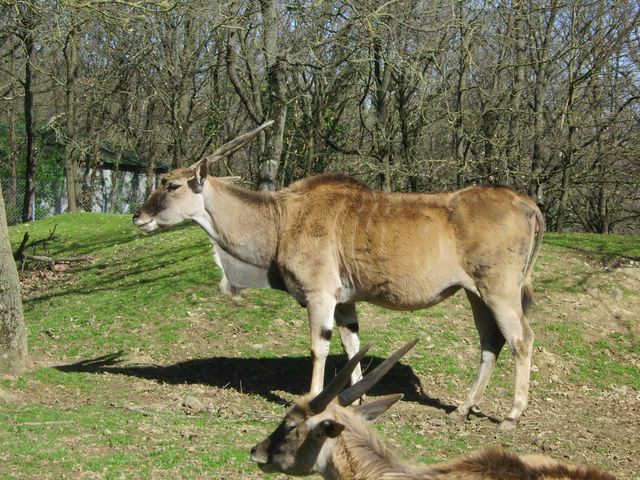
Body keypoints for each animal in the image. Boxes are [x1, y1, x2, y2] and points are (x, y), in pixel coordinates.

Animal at [134, 122, 544, 426]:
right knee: (491, 342)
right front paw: (356, 401)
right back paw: (463, 408)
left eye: (171, 184)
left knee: (521, 338)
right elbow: (352, 347)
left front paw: (314, 398)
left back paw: (512, 415)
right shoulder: (346, 302)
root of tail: (526, 203)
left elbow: (320, 347)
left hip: (499, 290)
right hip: (475, 293)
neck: (281, 219)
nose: (138, 217)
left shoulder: (321, 295)